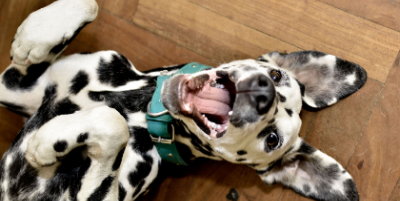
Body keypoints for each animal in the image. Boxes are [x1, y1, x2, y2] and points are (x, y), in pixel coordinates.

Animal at [0, 0, 368, 200]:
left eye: (272, 139)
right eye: (277, 77)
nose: (263, 90)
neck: (136, 104)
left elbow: (112, 122)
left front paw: (47, 142)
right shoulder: (13, 84)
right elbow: (90, 5)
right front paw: (37, 34)